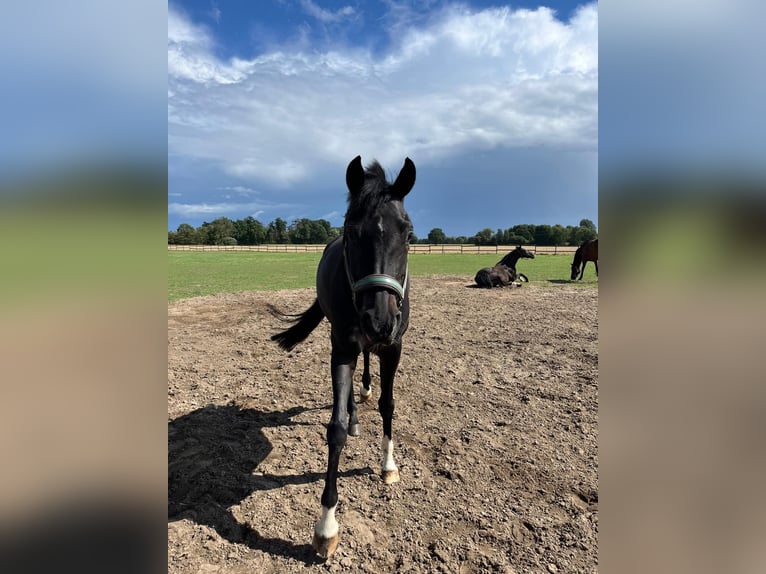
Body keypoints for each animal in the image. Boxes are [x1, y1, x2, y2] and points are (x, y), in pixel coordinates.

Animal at [269, 156, 415, 559]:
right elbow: (333, 430)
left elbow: (388, 404)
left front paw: (388, 466)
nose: (379, 319)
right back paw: (354, 416)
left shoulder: (393, 348)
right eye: (351, 232)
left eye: (408, 234)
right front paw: (326, 526)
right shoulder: (342, 349)